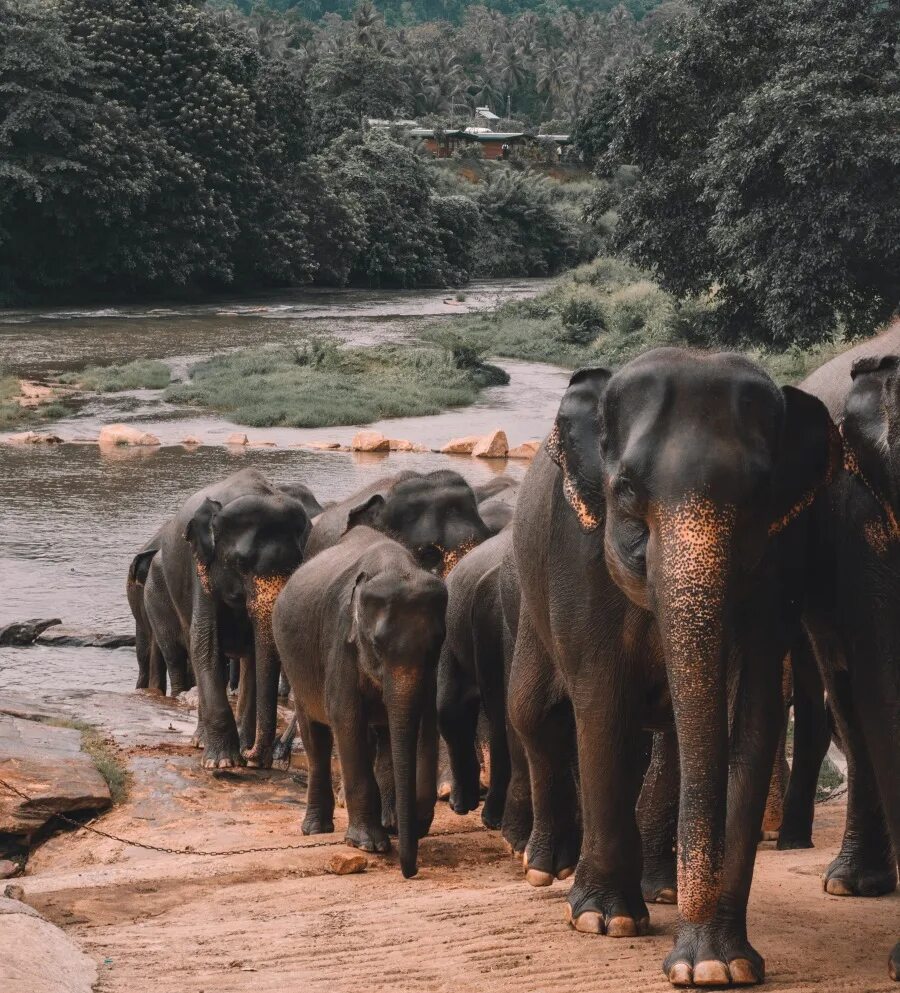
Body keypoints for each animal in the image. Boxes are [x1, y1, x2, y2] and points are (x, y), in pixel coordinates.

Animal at [149, 470, 312, 768]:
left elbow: (256, 654)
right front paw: (223, 763)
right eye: (240, 564)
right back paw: (202, 741)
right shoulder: (200, 569)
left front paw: (246, 756)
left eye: (297, 563)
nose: (254, 756)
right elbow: (205, 644)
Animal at [270, 528, 446, 876]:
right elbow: (346, 719)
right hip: (296, 664)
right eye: (376, 645)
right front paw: (369, 844)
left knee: (383, 735)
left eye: (436, 645)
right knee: (316, 736)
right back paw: (316, 829)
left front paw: (408, 825)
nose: (410, 872)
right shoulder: (341, 641)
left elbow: (423, 720)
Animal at [506, 348, 836, 984]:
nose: (680, 962)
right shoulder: (576, 556)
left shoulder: (781, 563)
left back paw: (660, 889)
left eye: (759, 497)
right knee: (532, 713)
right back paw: (546, 869)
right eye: (626, 490)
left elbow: (752, 718)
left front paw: (719, 966)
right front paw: (605, 921)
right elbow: (600, 706)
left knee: (673, 741)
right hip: (530, 598)